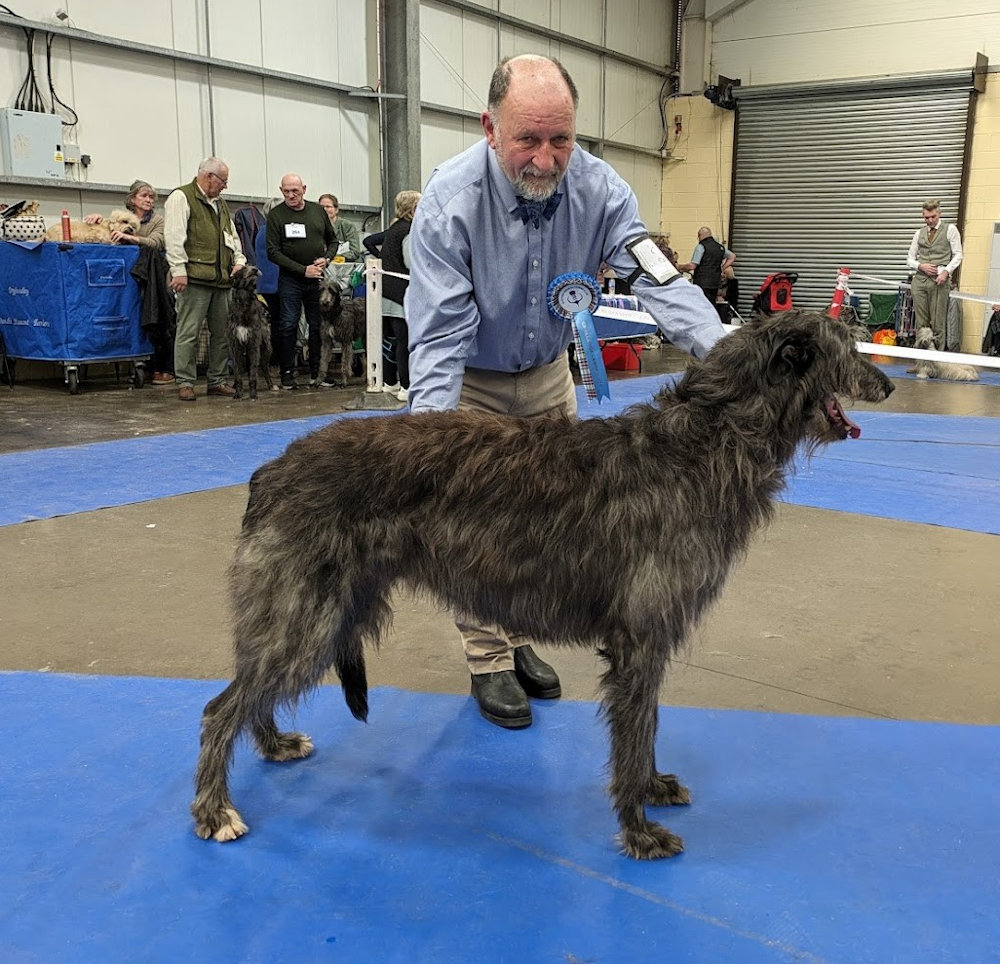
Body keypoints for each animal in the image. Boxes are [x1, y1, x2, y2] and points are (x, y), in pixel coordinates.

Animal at [191, 308, 896, 860]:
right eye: (846, 347)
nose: (888, 382)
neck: (706, 440)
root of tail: (269, 470)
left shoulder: (647, 639)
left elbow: (648, 727)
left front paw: (653, 788)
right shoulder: (639, 639)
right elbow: (634, 733)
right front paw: (639, 830)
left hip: (325, 608)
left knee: (250, 692)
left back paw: (274, 744)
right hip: (306, 613)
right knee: (220, 707)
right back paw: (213, 810)